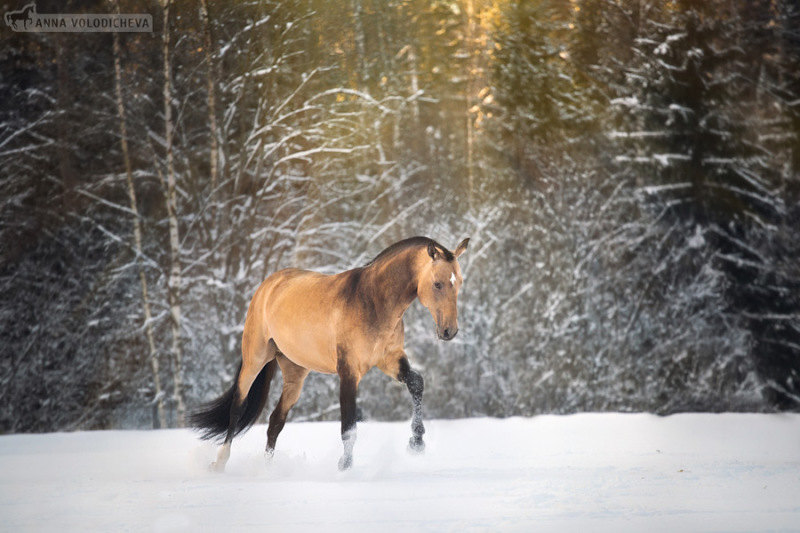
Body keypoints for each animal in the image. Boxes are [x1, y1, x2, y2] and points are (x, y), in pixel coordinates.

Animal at [189, 237, 468, 470]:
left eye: (460, 283)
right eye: (437, 284)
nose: (449, 331)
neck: (373, 301)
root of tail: (269, 284)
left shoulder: (389, 359)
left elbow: (416, 383)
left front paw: (416, 442)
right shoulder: (349, 372)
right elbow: (348, 425)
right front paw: (345, 466)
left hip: (295, 372)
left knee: (275, 421)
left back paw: (267, 469)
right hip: (255, 358)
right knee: (237, 407)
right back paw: (220, 462)